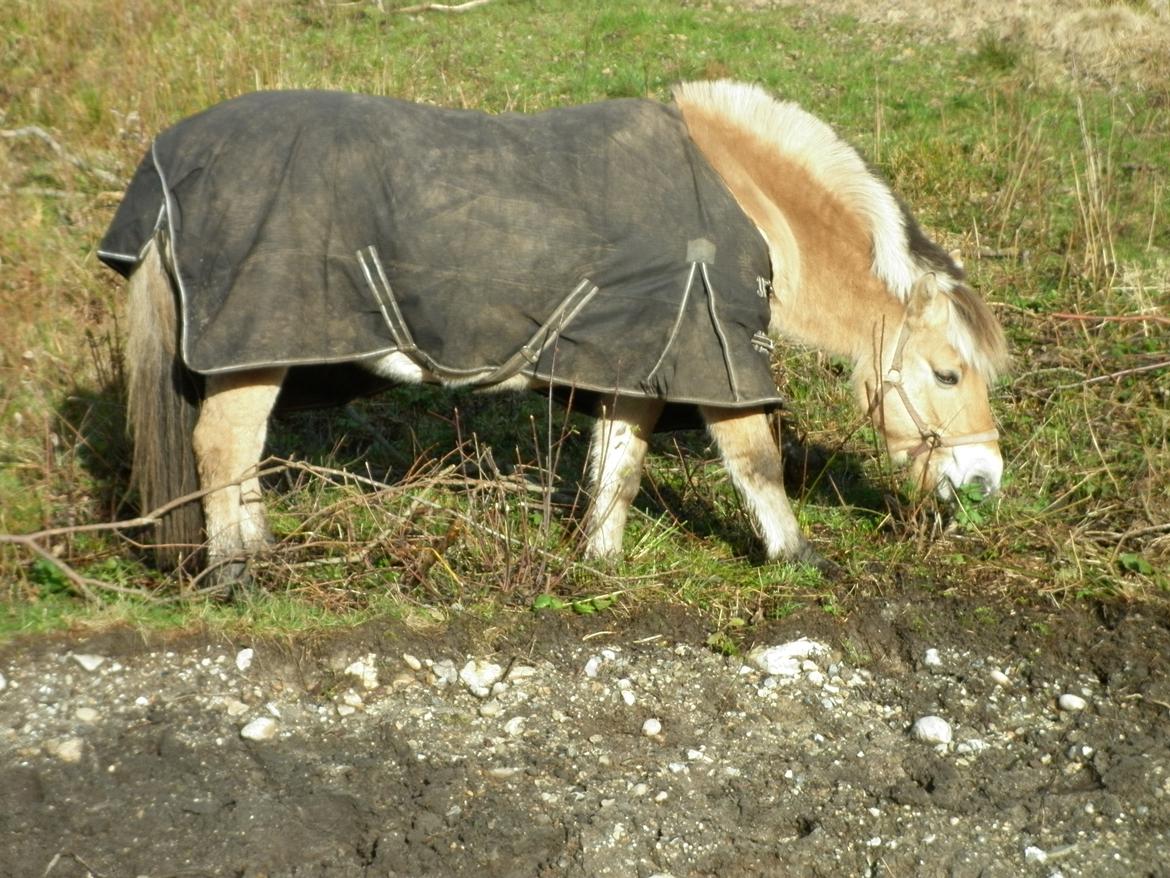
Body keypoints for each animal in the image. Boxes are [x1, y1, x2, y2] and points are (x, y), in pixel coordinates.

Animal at [102, 79, 1006, 587]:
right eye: (948, 374)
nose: (984, 481)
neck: (749, 203)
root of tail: (171, 166)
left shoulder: (642, 360)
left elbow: (618, 466)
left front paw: (598, 564)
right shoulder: (713, 352)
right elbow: (756, 460)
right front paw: (798, 558)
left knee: (242, 455)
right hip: (249, 350)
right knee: (223, 448)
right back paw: (237, 576)